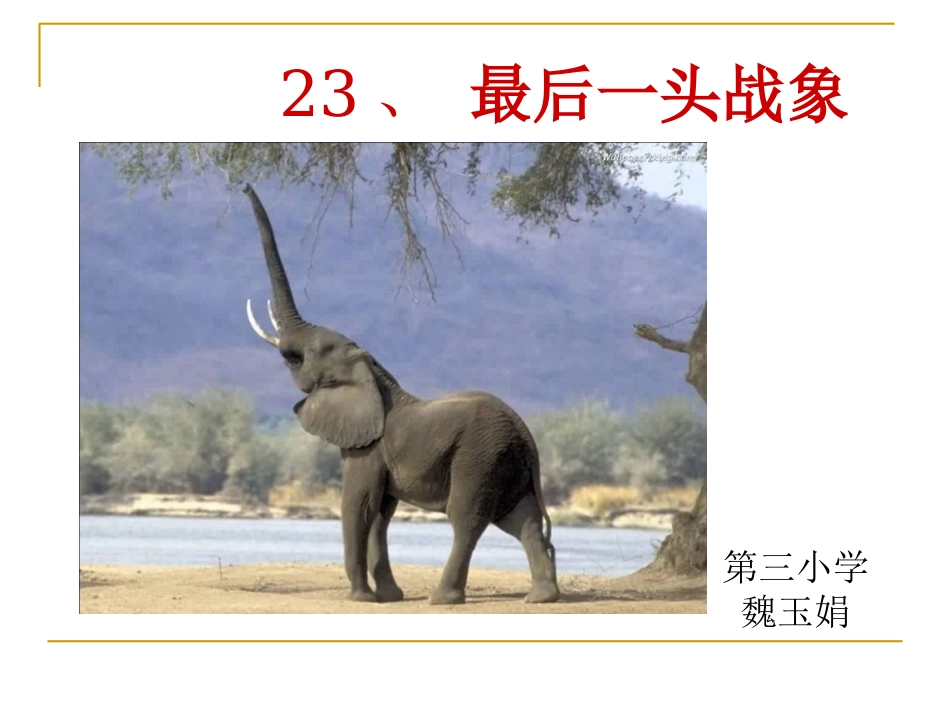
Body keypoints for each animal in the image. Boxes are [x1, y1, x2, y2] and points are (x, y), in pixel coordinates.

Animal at [242, 184, 560, 605]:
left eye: (305, 355)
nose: (244, 186)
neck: (371, 371)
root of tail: (527, 437)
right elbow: (380, 513)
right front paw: (389, 596)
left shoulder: (366, 446)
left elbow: (359, 506)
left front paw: (360, 599)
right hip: (507, 462)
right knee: (521, 519)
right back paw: (542, 598)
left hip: (481, 456)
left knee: (467, 518)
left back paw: (443, 599)